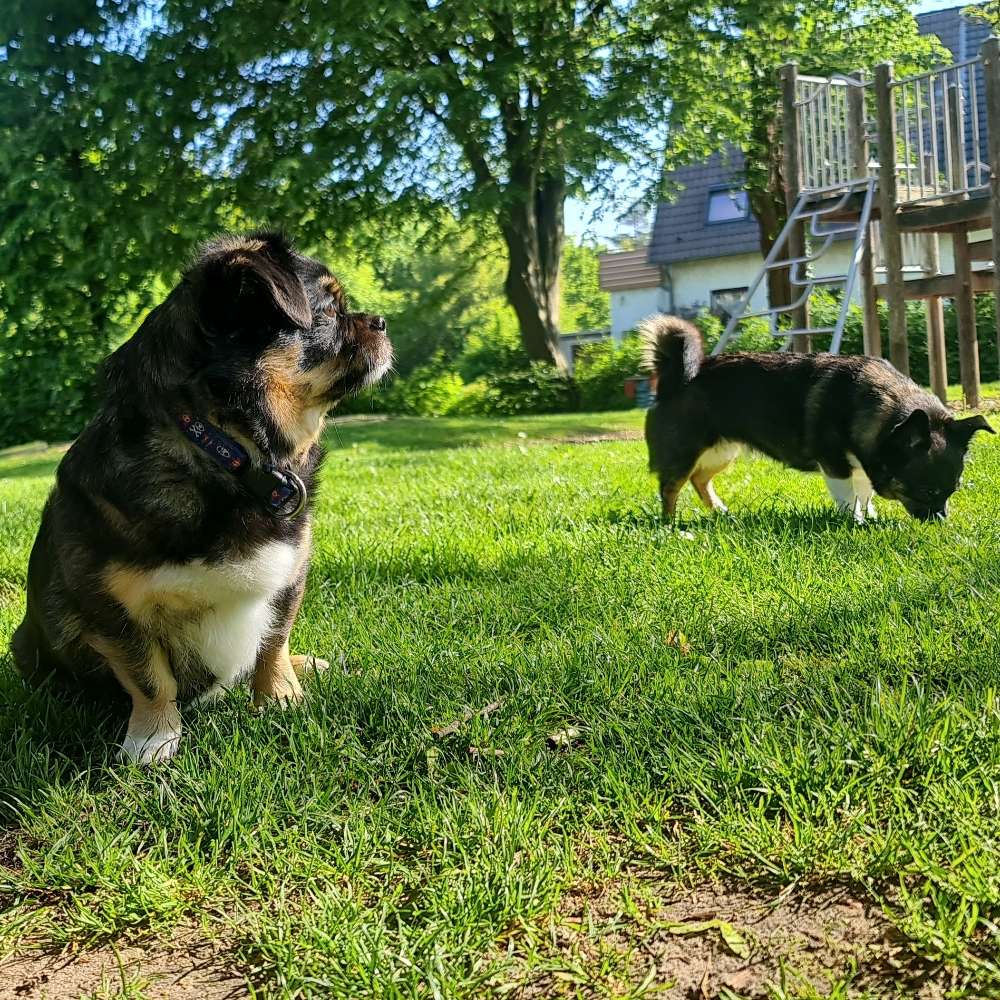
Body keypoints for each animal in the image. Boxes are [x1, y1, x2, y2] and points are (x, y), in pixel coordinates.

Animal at [14, 230, 394, 760]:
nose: (381, 321)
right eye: (329, 310)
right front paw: (153, 738)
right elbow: (151, 677)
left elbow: (273, 642)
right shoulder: (110, 608)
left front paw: (281, 699)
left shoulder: (290, 576)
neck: (226, 450)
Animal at [640, 316, 992, 524]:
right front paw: (858, 523)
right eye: (927, 491)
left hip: (721, 452)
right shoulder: (835, 465)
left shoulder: (862, 465)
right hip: (685, 452)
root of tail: (675, 378)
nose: (941, 520)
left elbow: (864, 492)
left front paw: (870, 515)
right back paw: (670, 524)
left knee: (700, 480)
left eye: (953, 491)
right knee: (671, 487)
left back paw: (721, 512)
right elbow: (849, 497)